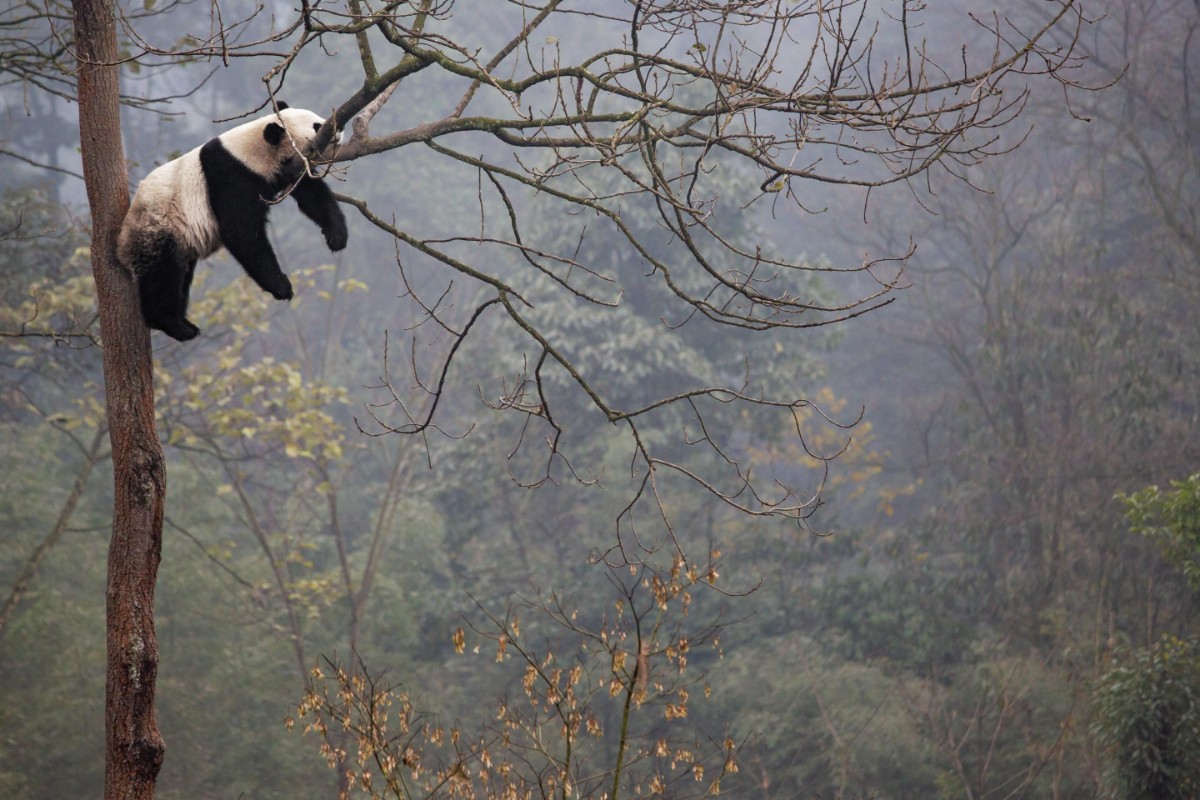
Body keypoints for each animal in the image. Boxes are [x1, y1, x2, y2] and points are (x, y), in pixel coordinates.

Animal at [117, 104, 348, 341]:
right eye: (318, 125)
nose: (339, 128)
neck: (253, 150)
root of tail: (121, 245)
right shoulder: (231, 176)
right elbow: (242, 232)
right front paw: (281, 286)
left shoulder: (290, 168)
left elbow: (311, 193)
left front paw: (336, 236)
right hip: (159, 226)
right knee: (162, 275)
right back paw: (173, 324)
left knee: (181, 276)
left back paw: (184, 323)